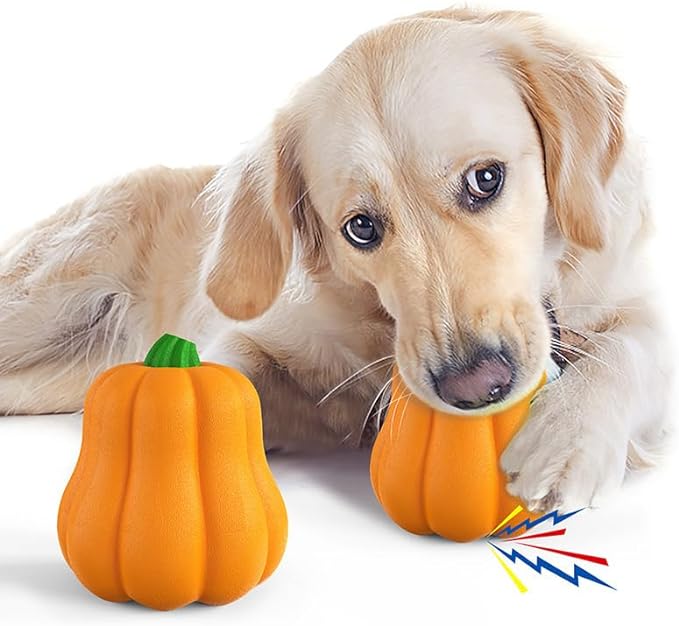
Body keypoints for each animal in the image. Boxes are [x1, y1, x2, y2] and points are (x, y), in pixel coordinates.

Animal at [0, 7, 668, 510]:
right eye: (361, 228)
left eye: (486, 179)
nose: (475, 386)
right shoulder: (248, 335)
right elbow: (224, 380)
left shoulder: (632, 300)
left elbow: (628, 349)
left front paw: (566, 438)